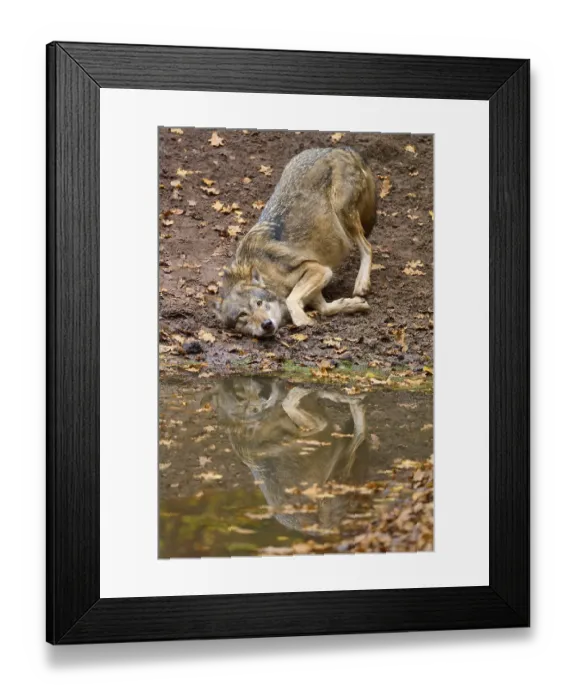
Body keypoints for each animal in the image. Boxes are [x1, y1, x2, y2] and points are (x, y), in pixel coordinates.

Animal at [215, 147, 377, 337]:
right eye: (243, 315)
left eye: (259, 303)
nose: (266, 324)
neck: (268, 275)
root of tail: (340, 148)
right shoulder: (318, 283)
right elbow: (326, 309)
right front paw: (353, 305)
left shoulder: (318, 269)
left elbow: (292, 299)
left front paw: (303, 320)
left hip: (343, 214)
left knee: (368, 247)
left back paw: (361, 284)